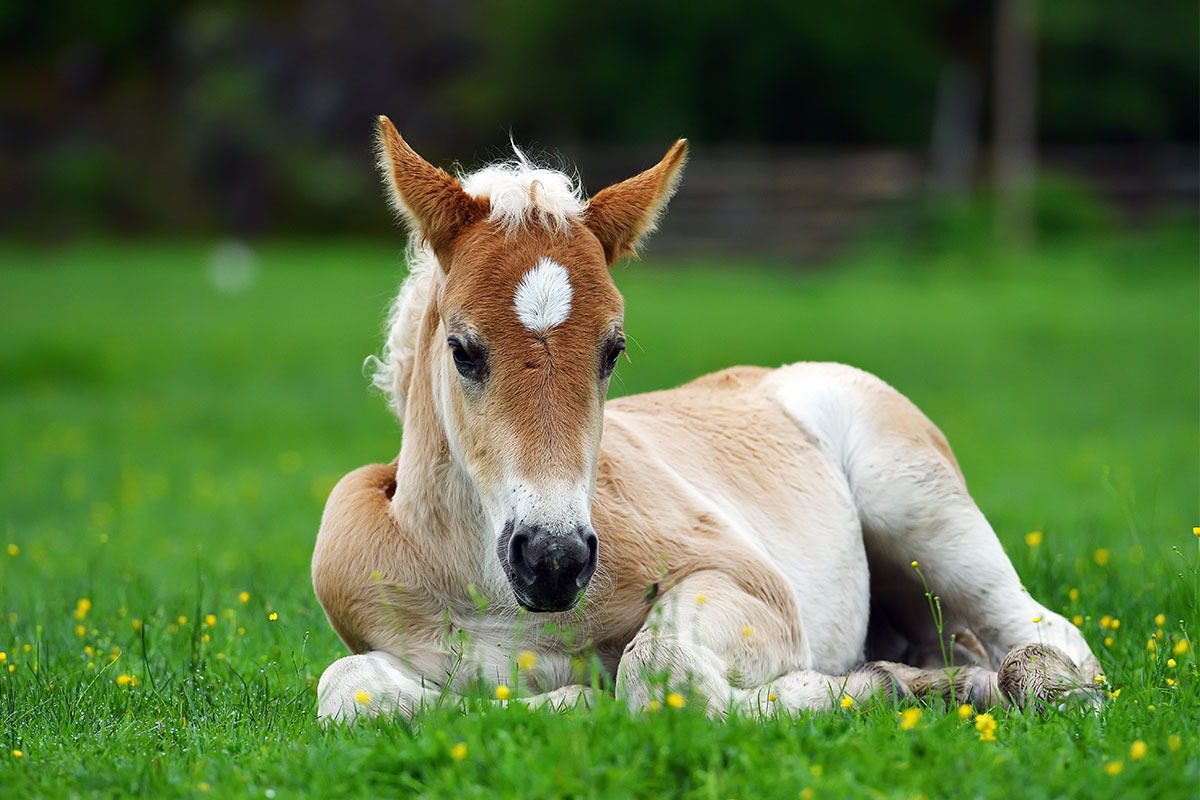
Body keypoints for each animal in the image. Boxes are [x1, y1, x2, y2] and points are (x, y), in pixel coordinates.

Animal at [312, 116, 1102, 722]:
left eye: (613, 349)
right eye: (463, 349)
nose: (554, 560)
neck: (483, 582)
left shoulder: (754, 586)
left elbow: (661, 673)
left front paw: (868, 686)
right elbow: (346, 690)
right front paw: (572, 700)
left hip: (918, 509)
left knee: (1044, 632)